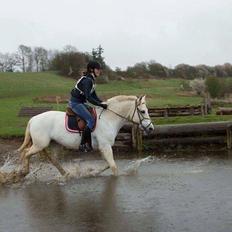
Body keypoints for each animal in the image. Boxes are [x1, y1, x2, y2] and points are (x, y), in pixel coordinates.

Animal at [18, 94, 154, 176]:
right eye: (143, 111)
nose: (151, 128)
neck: (108, 118)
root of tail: (33, 119)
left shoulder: (103, 148)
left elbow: (108, 164)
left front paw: (93, 172)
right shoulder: (105, 146)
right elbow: (113, 166)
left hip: (53, 144)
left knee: (53, 160)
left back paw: (66, 174)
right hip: (40, 144)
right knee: (26, 153)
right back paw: (22, 173)